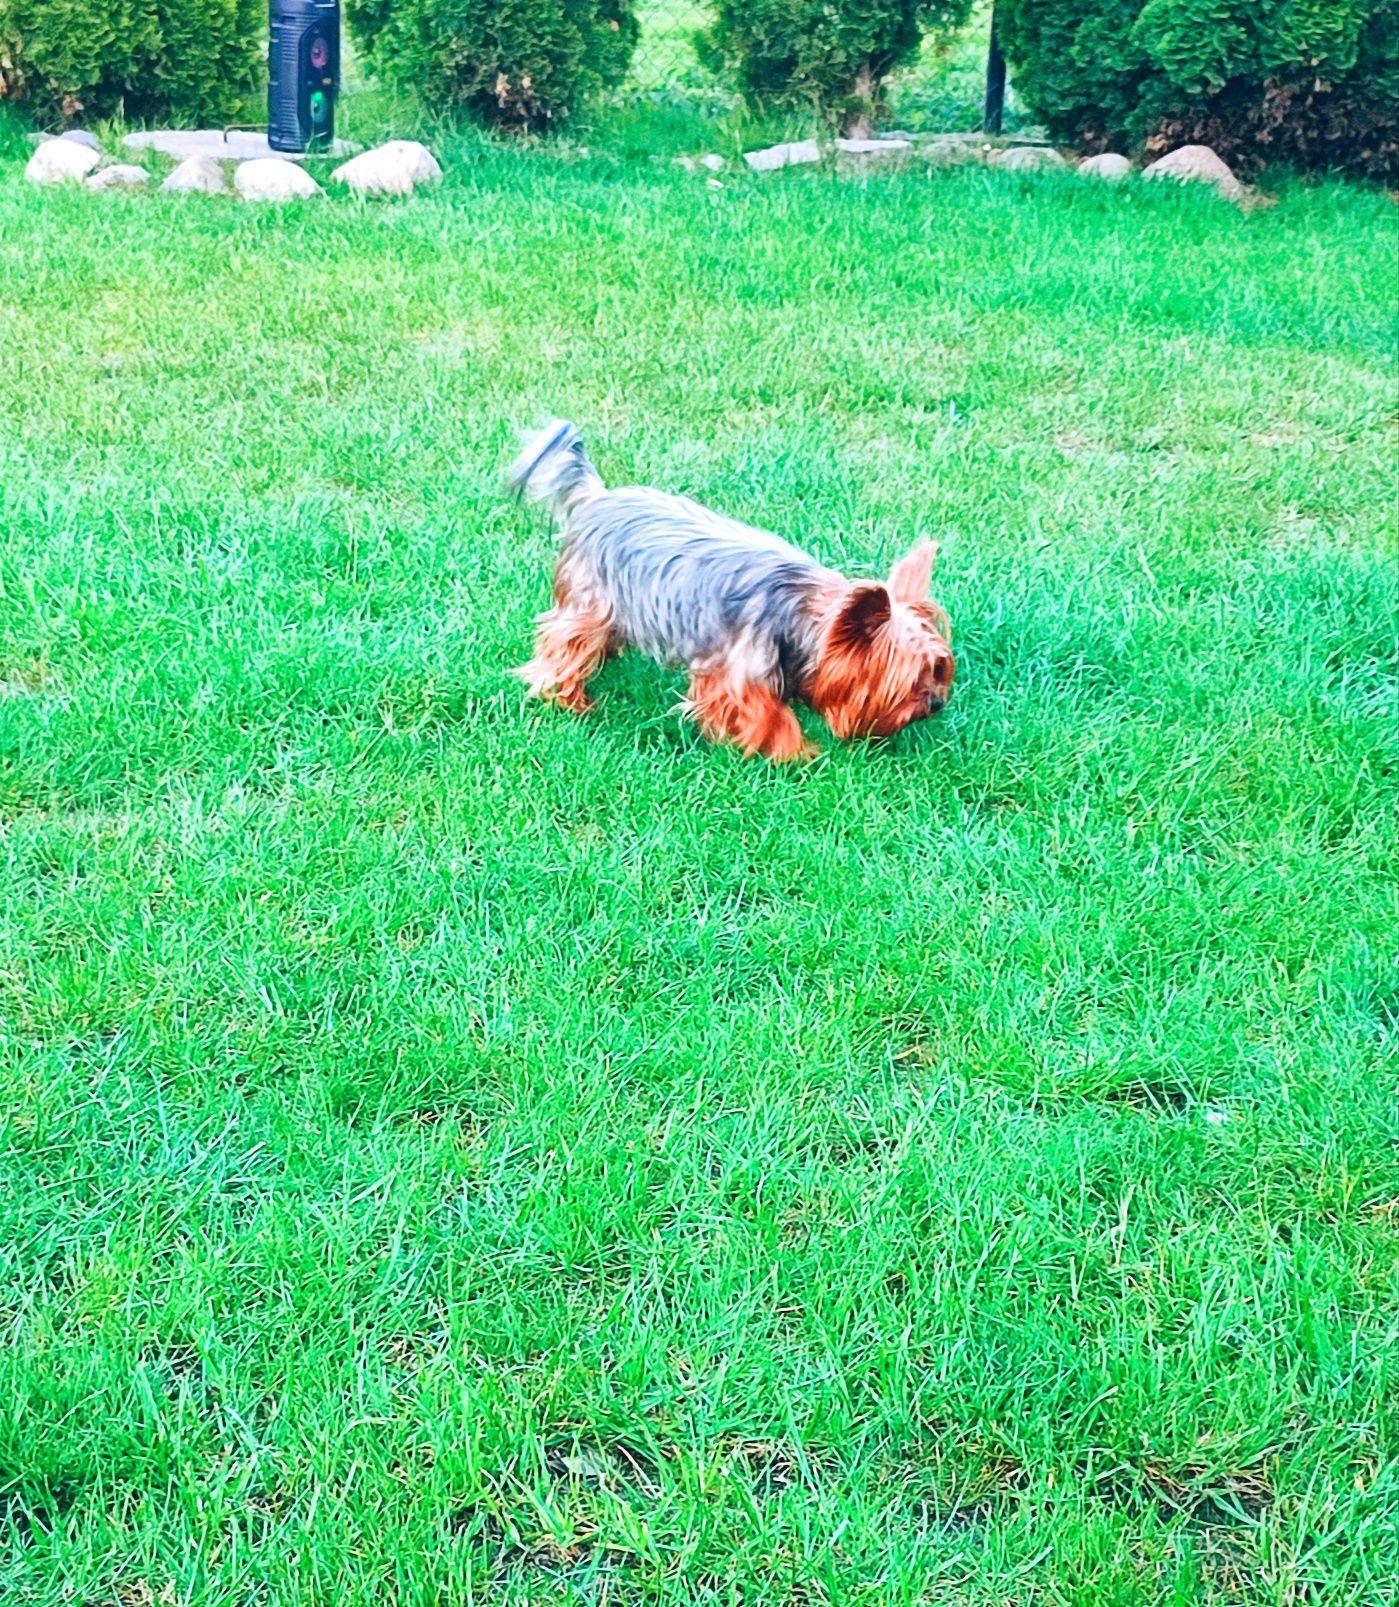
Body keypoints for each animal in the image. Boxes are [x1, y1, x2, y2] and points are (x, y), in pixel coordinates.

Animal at [507, 421, 957, 758]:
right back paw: (568, 698)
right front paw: (797, 754)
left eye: (937, 668)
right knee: (564, 645)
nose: (936, 703)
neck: (801, 613)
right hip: (590, 603)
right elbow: (768, 715)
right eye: (908, 677)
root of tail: (596, 497)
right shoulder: (740, 672)